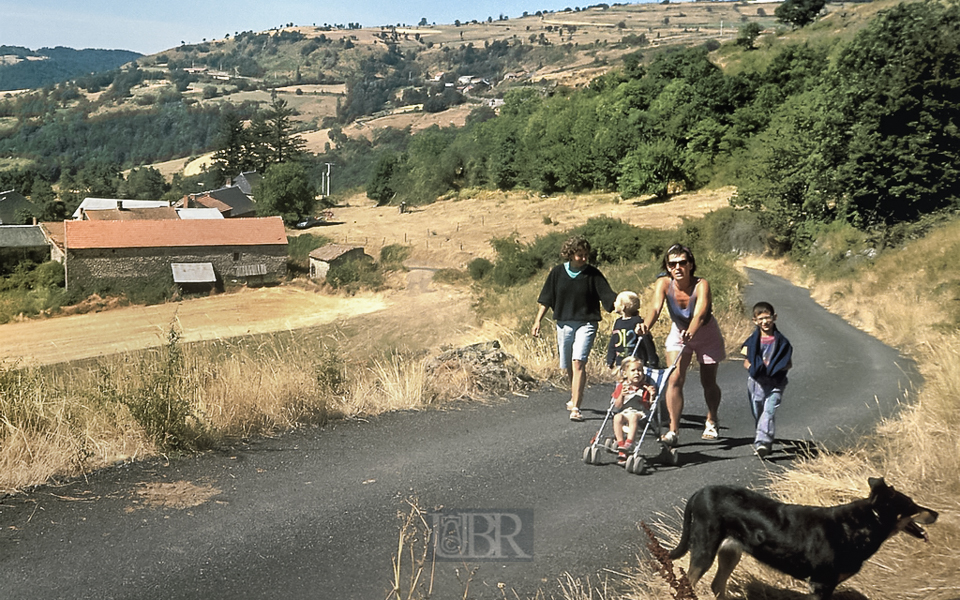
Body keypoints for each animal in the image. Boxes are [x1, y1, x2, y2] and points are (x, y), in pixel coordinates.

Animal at [668, 478, 936, 600]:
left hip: (730, 552)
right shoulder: (820, 585)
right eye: (912, 506)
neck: (862, 523)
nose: (936, 513)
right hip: (705, 550)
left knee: (717, 585)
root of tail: (700, 492)